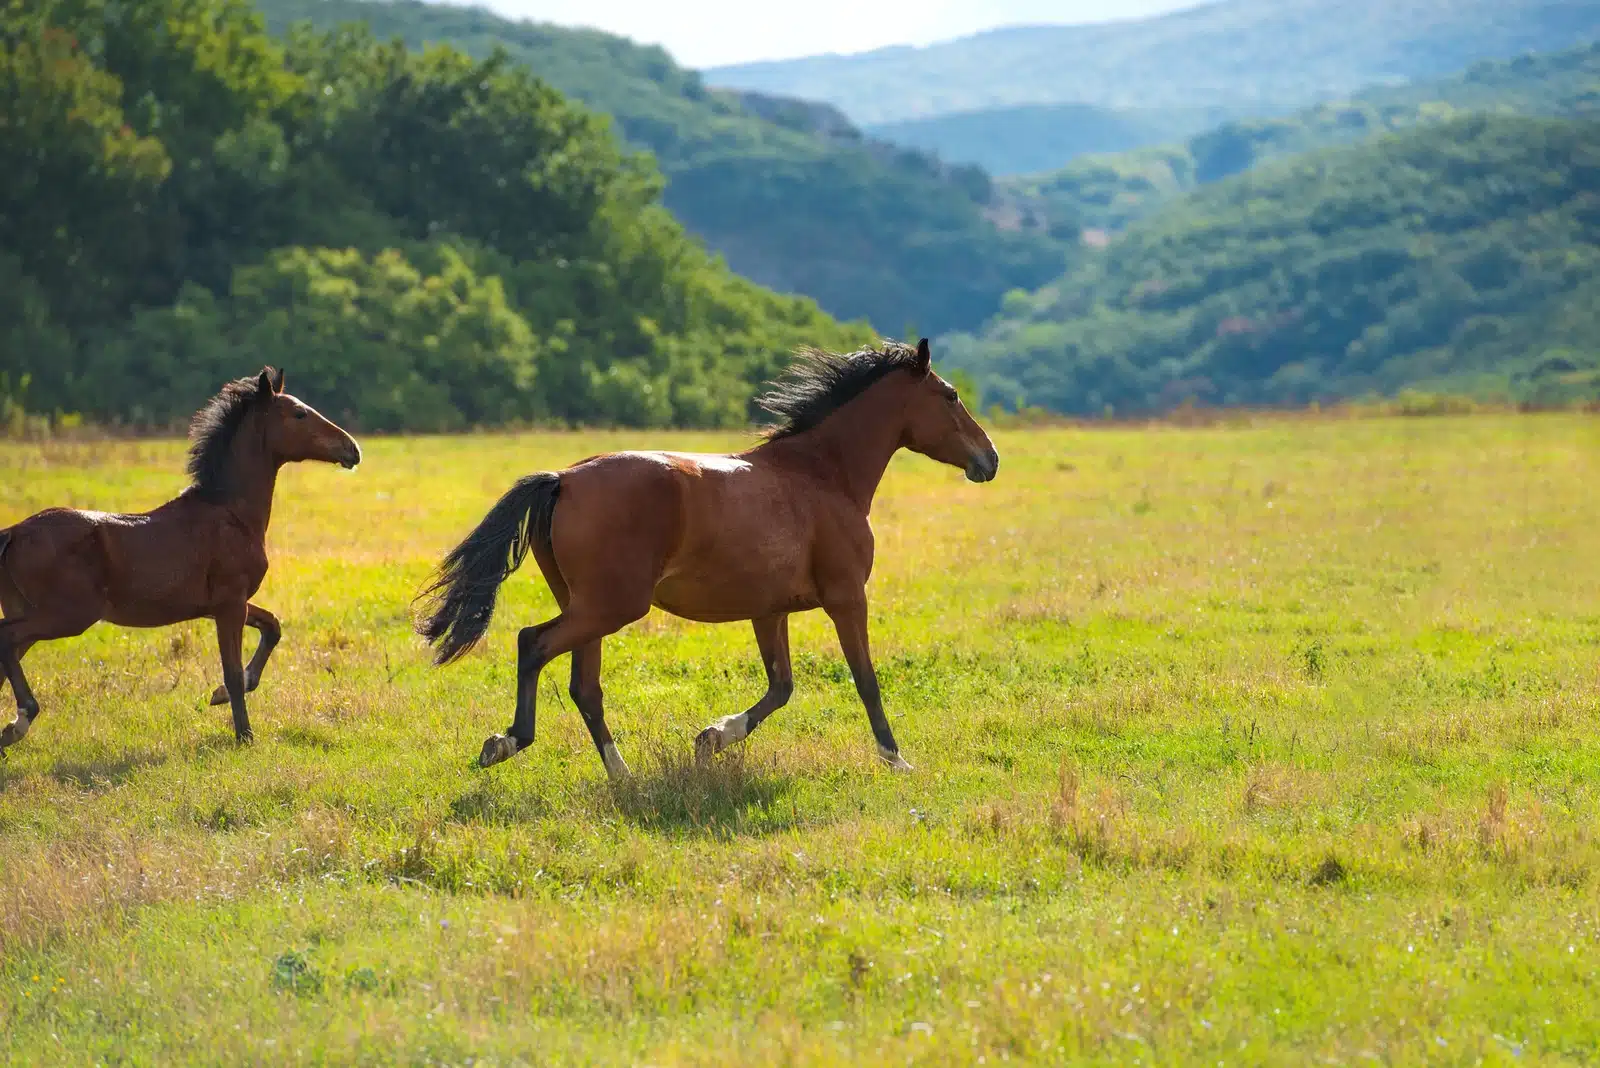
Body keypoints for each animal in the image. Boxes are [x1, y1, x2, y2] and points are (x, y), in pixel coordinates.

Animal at [0, 367, 362, 755]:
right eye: (299, 414)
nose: (352, 449)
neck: (230, 512)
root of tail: (13, 532)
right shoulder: (230, 603)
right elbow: (233, 672)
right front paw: (244, 735)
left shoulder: (218, 605)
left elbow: (272, 628)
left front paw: (218, 696)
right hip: (68, 615)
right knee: (6, 640)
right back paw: (20, 720)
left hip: (32, 610)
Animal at [415, 337, 999, 779]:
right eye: (949, 395)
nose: (989, 459)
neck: (822, 475)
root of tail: (563, 479)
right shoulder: (846, 598)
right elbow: (866, 679)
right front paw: (896, 760)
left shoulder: (770, 611)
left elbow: (781, 687)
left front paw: (712, 737)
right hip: (610, 608)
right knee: (532, 644)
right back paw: (507, 742)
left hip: (589, 608)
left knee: (584, 686)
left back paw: (622, 775)